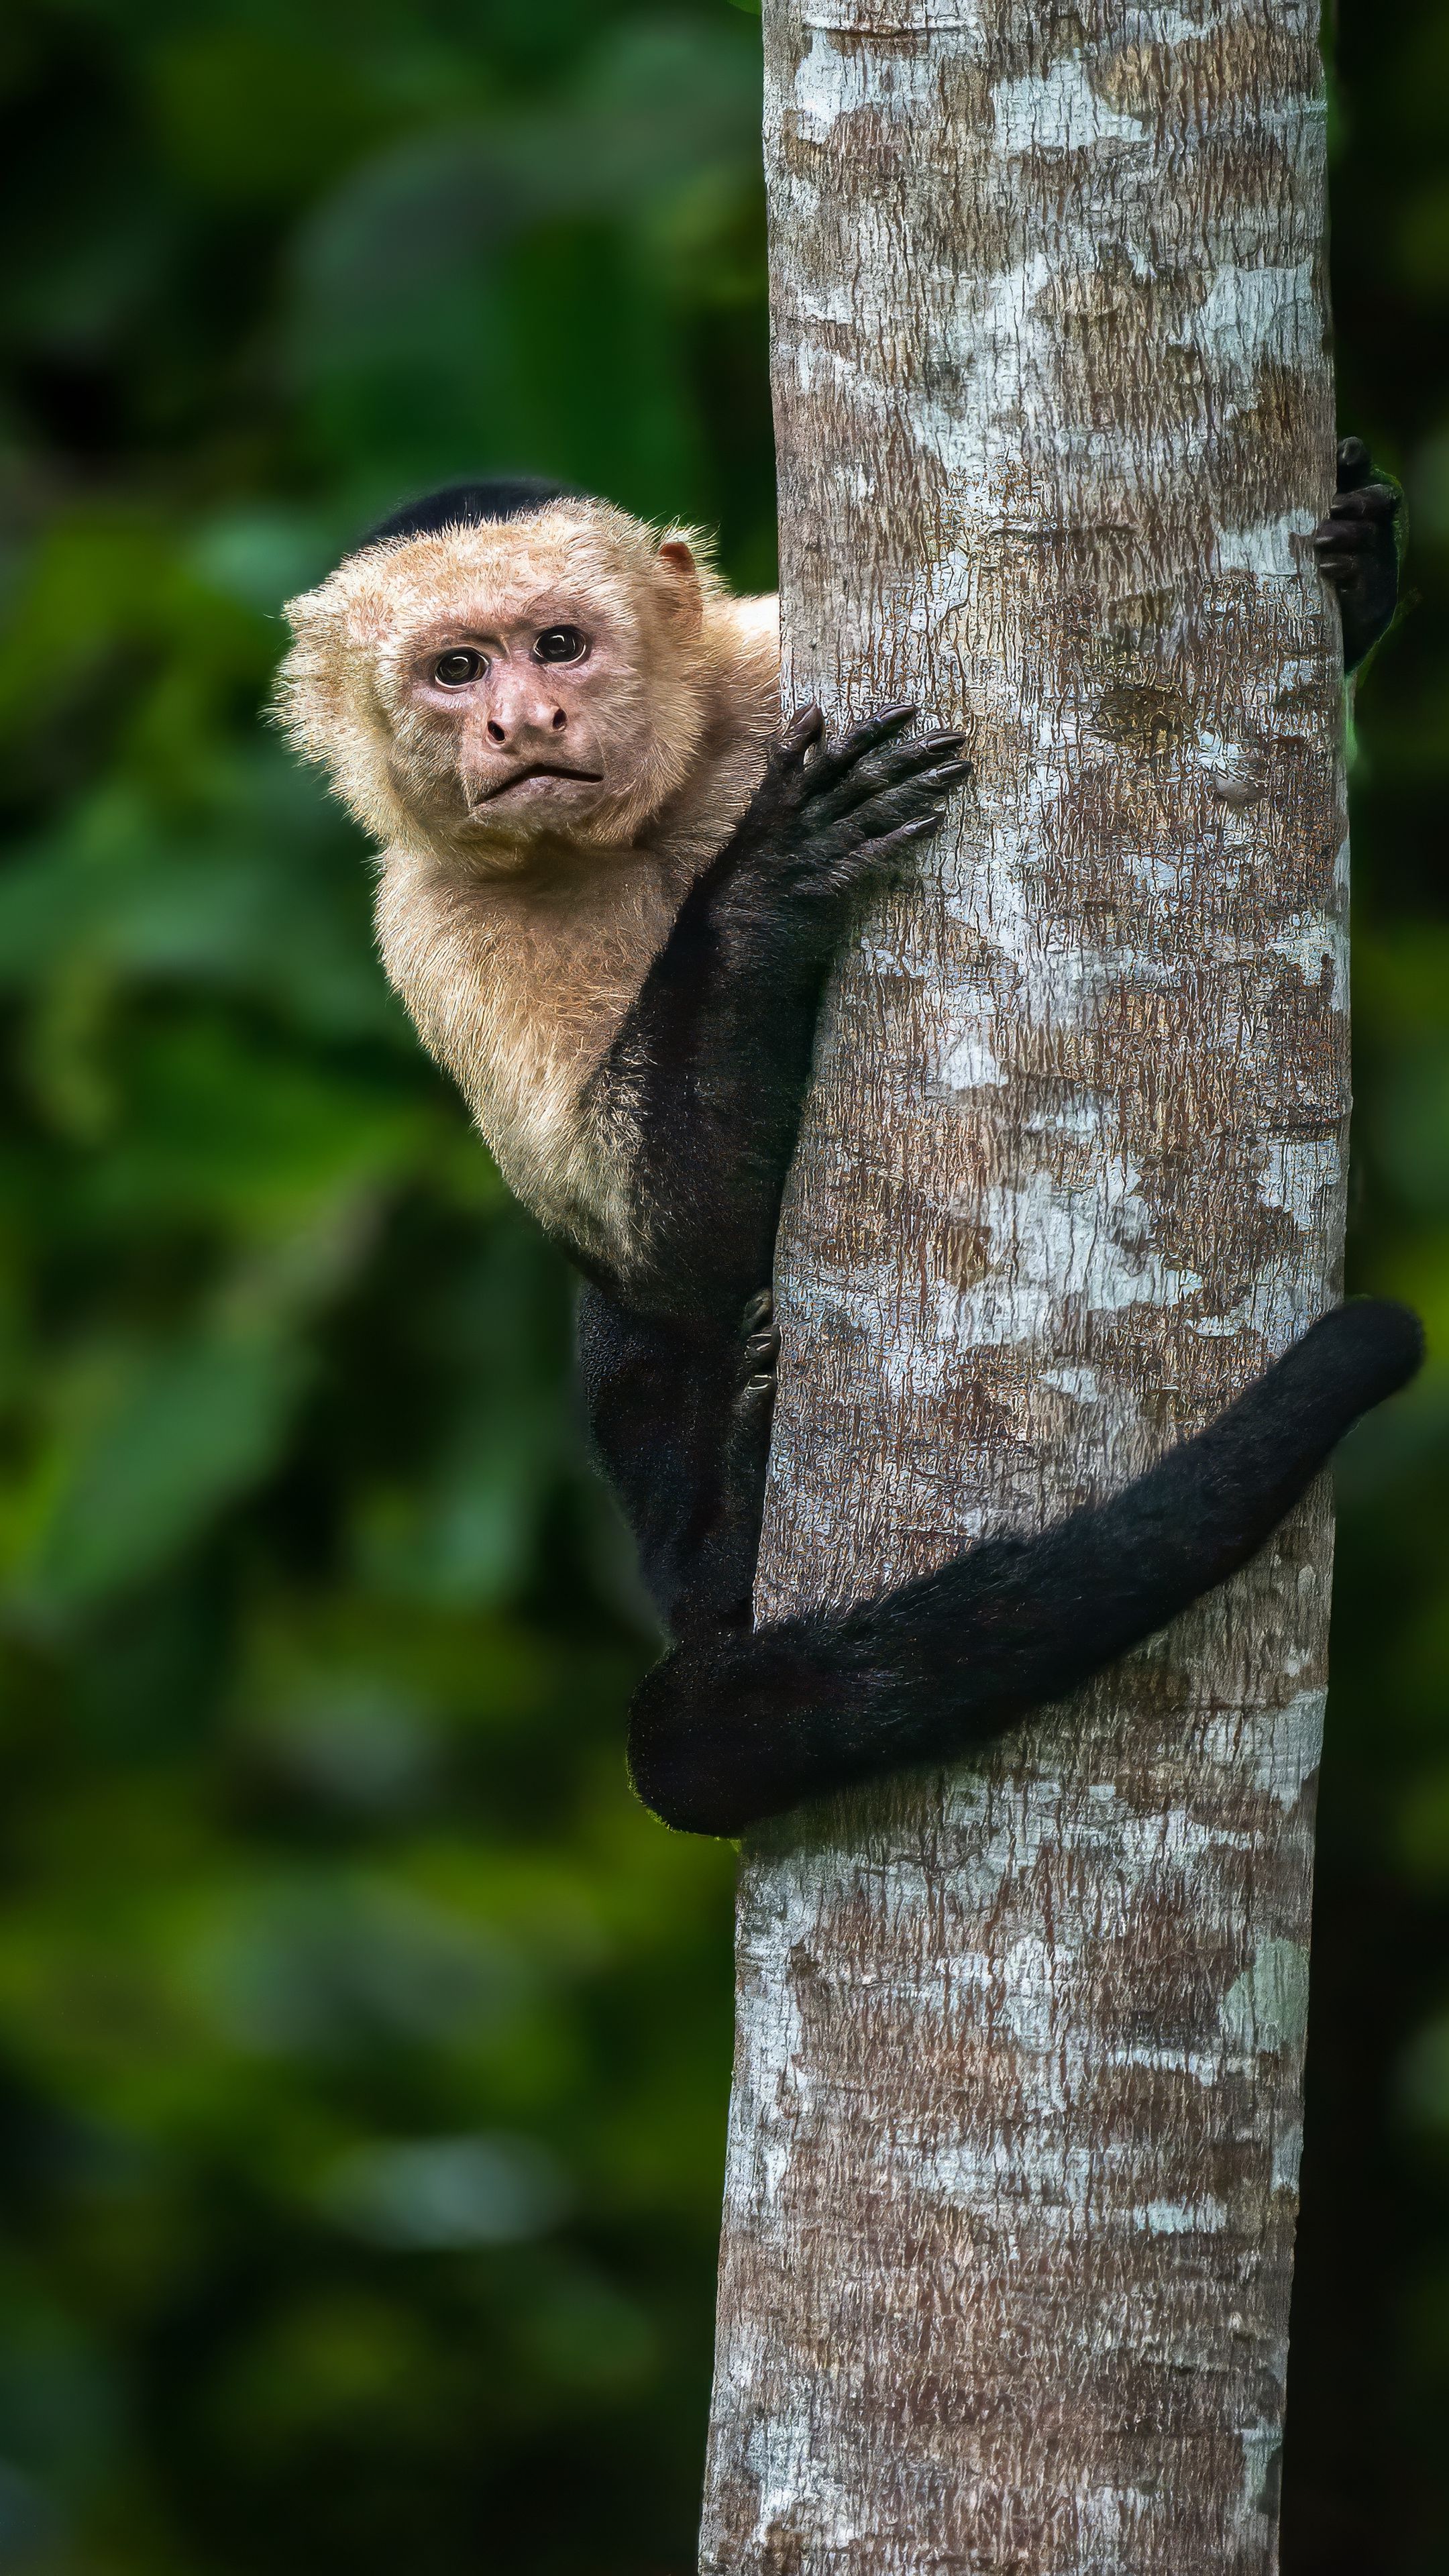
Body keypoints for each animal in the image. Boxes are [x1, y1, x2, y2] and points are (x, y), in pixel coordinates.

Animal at [276, 443, 1417, 1838]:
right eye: (455, 670)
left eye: (558, 646)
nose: (524, 723)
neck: (650, 823)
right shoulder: (433, 922)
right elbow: (658, 1247)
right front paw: (762, 891)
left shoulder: (767, 666)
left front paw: (1359, 570)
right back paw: (721, 1529)